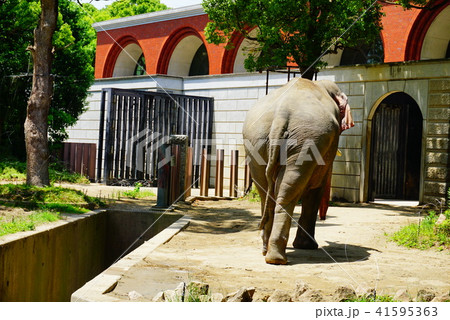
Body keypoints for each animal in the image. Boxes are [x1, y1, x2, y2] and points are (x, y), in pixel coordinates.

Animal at [243, 78, 352, 264]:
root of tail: (280, 115)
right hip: (307, 140)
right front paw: (307, 246)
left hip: (256, 140)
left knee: (266, 190)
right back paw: (277, 258)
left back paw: (266, 251)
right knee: (291, 188)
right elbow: (316, 187)